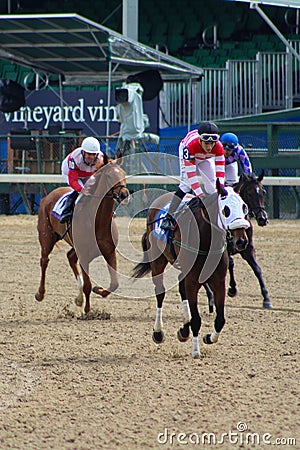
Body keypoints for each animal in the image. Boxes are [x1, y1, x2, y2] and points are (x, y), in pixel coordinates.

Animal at [34, 158, 129, 316]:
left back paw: (78, 299)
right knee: (44, 261)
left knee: (70, 257)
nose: (124, 194)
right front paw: (88, 310)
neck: (98, 221)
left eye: (123, 173)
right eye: (109, 175)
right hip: (46, 236)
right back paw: (40, 293)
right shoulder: (84, 255)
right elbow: (88, 285)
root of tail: (48, 196)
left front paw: (98, 290)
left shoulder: (109, 251)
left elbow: (114, 284)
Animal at [132, 183, 250, 358]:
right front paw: (196, 351)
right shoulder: (192, 281)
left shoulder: (218, 282)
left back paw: (184, 329)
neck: (206, 241)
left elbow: (220, 319)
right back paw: (158, 332)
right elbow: (196, 319)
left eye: (244, 207)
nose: (241, 241)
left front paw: (209, 338)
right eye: (226, 209)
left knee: (182, 290)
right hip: (157, 261)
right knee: (160, 292)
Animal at [204, 171, 272, 310]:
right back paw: (211, 296)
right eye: (250, 193)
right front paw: (232, 289)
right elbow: (231, 263)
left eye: (263, 191)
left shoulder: (248, 248)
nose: (263, 218)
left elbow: (257, 269)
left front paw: (266, 298)